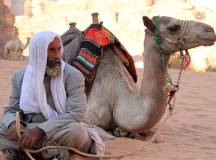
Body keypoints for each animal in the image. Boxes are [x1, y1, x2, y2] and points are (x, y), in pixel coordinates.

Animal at [61, 15, 215, 139]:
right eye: (173, 27)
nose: (210, 30)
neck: (118, 95)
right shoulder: (88, 118)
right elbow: (109, 137)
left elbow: (156, 137)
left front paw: (122, 131)